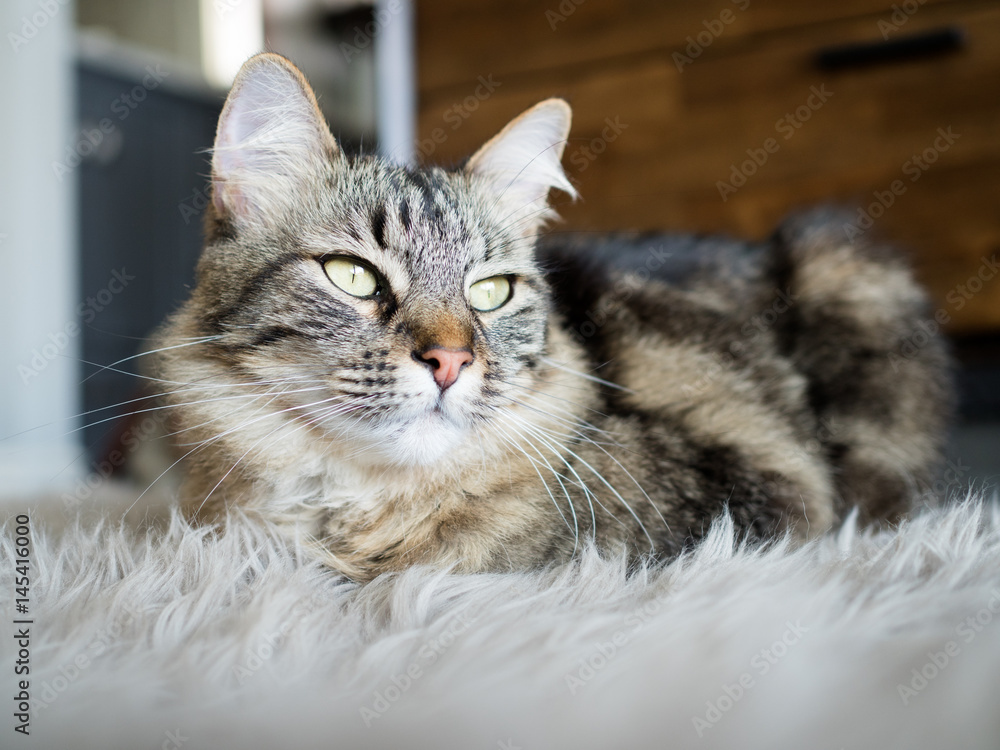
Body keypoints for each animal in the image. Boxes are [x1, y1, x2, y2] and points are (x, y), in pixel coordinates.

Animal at [148, 53, 952, 584]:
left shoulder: (756, 484)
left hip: (843, 267)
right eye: (352, 276)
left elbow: (509, 537)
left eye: (491, 292)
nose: (450, 362)